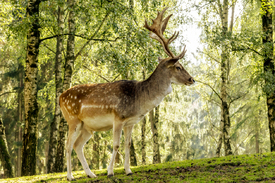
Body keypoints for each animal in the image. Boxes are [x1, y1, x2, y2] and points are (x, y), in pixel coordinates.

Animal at [59, 6, 195, 180]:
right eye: (178, 67)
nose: (192, 79)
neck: (139, 101)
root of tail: (60, 97)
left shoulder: (131, 122)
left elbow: (128, 144)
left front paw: (128, 170)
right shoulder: (118, 117)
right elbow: (116, 145)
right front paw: (110, 172)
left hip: (87, 127)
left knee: (77, 145)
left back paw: (91, 174)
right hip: (72, 119)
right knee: (68, 145)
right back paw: (70, 176)